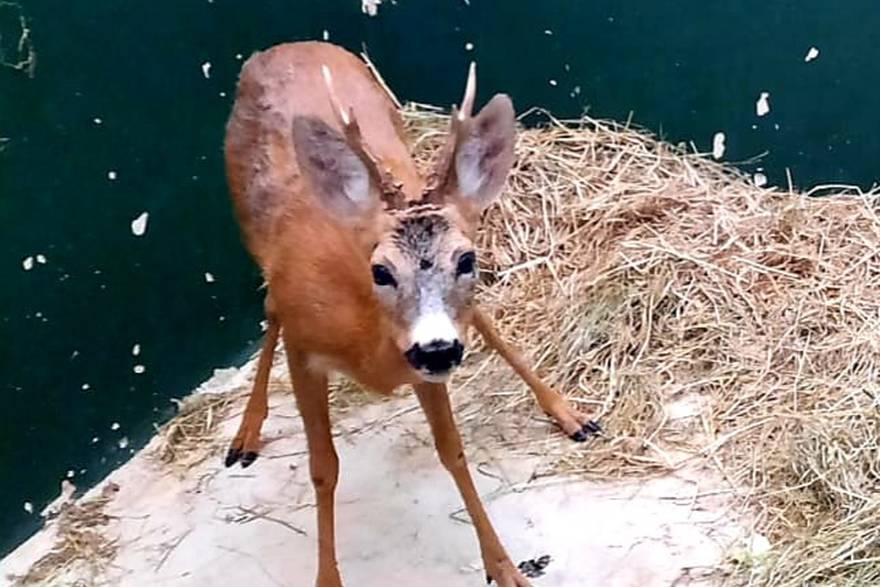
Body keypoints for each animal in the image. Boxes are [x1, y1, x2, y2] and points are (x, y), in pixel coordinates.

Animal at [223, 42, 600, 587]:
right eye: (381, 271)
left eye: (467, 259)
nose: (437, 349)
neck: (371, 345)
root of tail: (281, 47)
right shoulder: (304, 349)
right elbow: (323, 467)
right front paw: (327, 579)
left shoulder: (426, 363)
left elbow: (453, 450)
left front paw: (505, 568)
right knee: (269, 307)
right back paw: (245, 436)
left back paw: (571, 415)